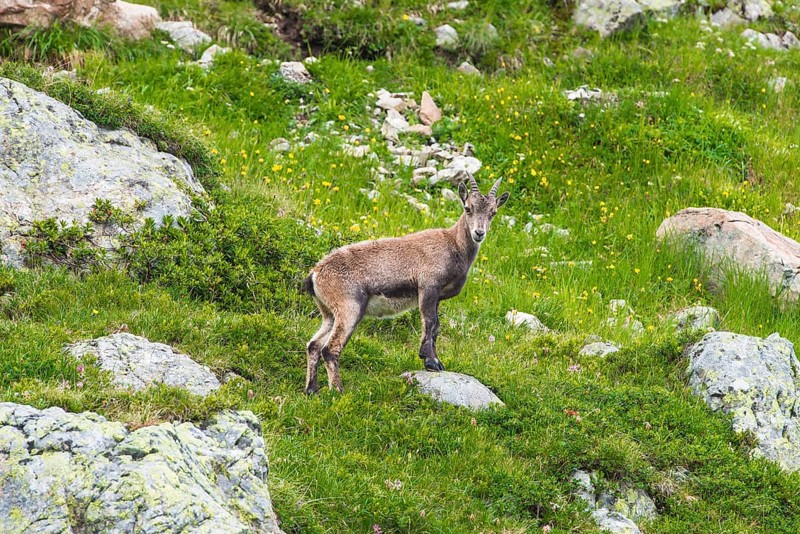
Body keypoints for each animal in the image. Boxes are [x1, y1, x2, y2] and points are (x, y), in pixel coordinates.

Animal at [303, 175, 510, 393]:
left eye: (493, 213)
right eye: (468, 208)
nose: (479, 233)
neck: (454, 246)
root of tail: (315, 274)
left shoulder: (437, 296)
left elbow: (436, 327)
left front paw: (436, 361)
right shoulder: (428, 286)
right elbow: (430, 322)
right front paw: (430, 361)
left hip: (329, 314)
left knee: (313, 345)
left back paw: (312, 389)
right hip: (349, 308)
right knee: (329, 348)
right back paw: (338, 391)